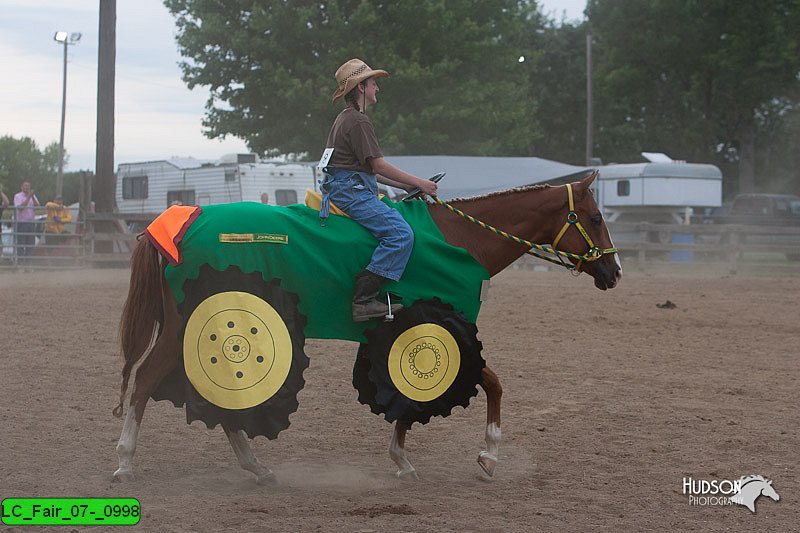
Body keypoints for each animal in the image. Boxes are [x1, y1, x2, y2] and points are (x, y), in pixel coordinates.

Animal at [112, 169, 620, 482]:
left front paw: (405, 458)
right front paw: (487, 455)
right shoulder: (442, 327)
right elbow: (487, 383)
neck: (461, 238)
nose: (614, 272)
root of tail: (179, 220)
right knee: (145, 382)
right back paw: (124, 463)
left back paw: (255, 466)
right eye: (595, 217)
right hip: (190, 326)